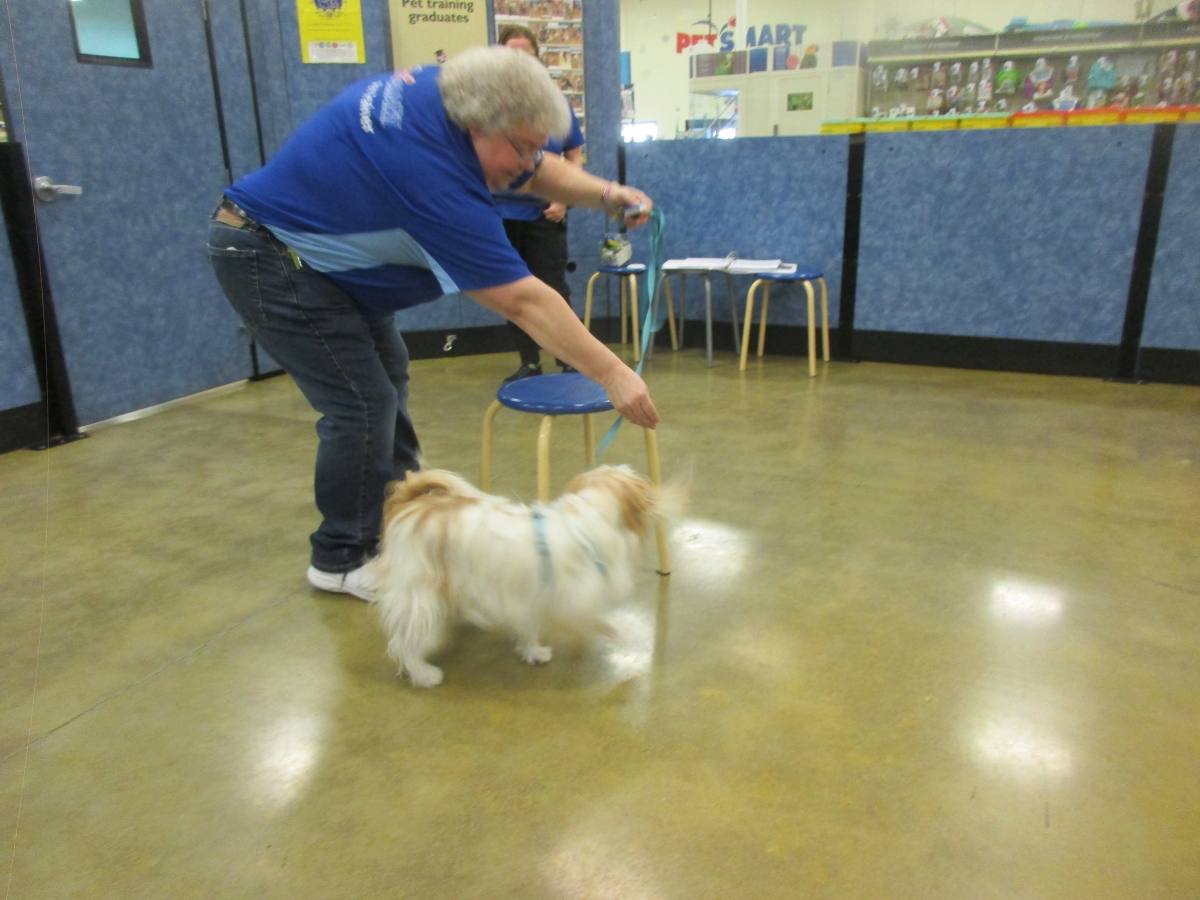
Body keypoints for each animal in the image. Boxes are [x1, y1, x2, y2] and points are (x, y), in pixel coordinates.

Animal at [373, 465, 681, 687]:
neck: (589, 518)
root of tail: (409, 503)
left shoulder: (529, 596)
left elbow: (529, 626)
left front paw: (533, 652)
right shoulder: (573, 601)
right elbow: (602, 621)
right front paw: (626, 635)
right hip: (419, 597)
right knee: (404, 642)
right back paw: (423, 674)